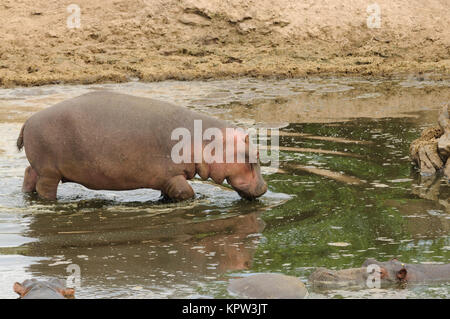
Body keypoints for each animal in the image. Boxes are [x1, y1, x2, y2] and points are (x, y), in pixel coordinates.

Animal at [17, 92, 268, 201]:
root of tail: (28, 119)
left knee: (28, 175)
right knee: (45, 188)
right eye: (252, 156)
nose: (265, 188)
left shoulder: (166, 180)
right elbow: (187, 193)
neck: (206, 141)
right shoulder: (173, 176)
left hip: (40, 167)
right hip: (50, 171)